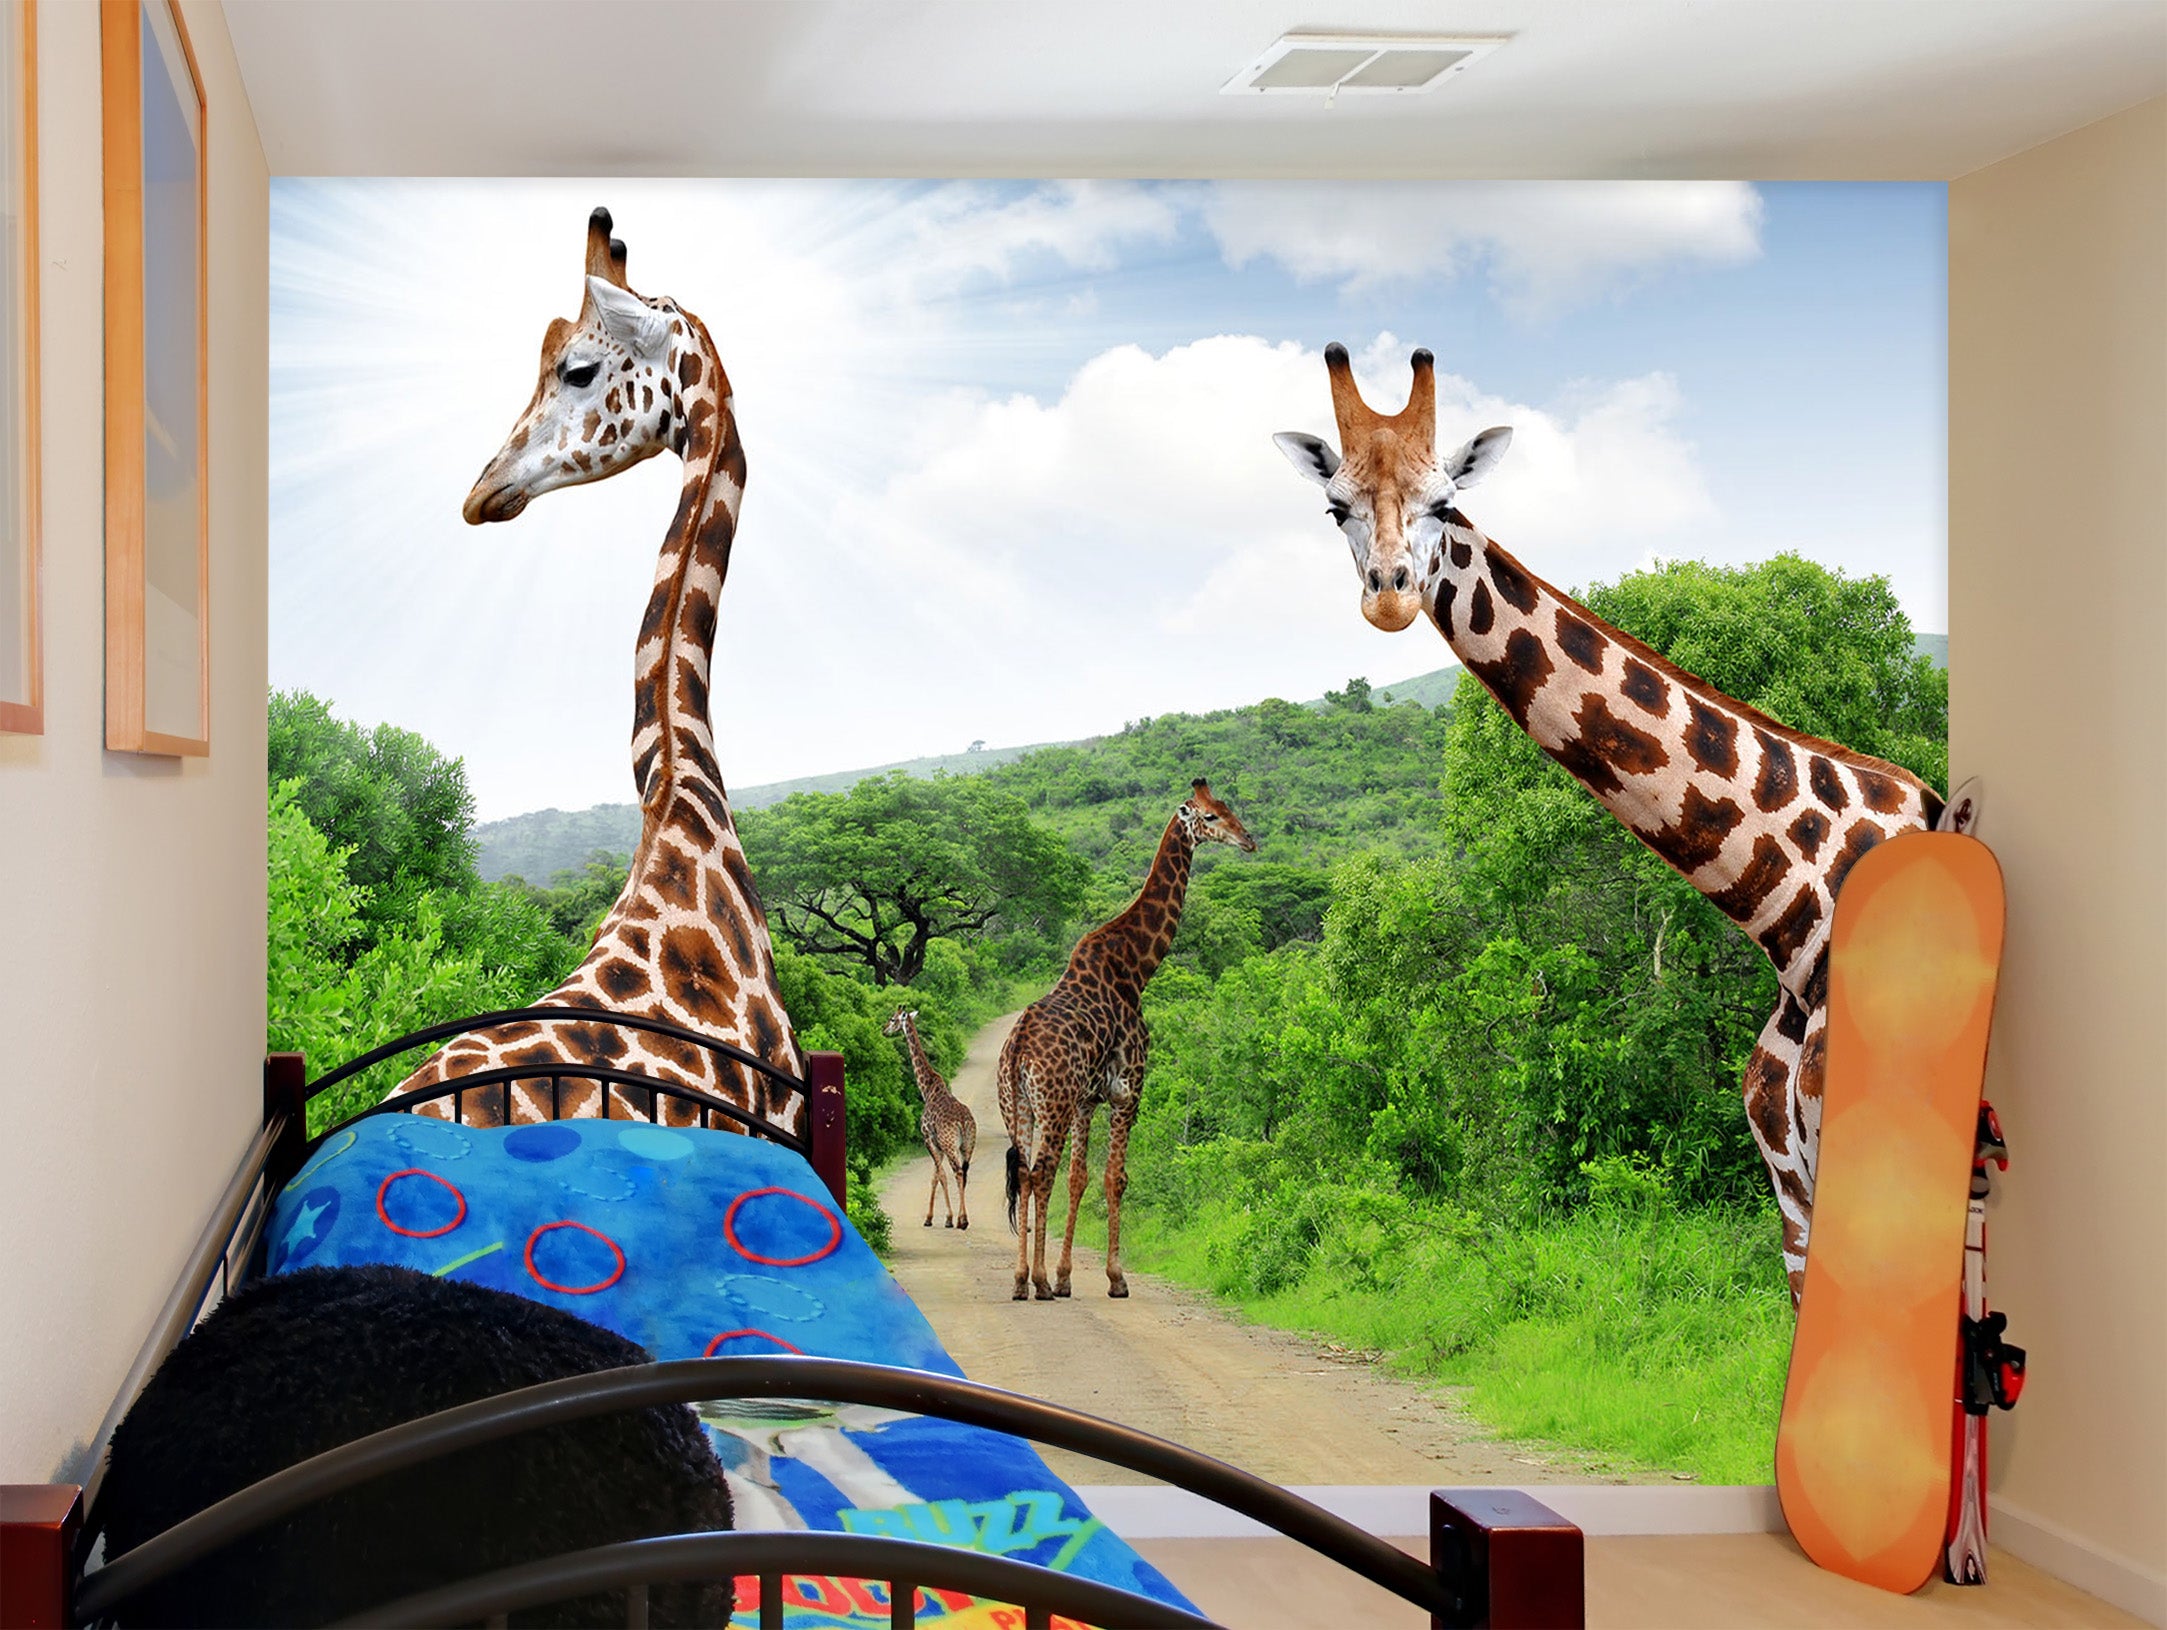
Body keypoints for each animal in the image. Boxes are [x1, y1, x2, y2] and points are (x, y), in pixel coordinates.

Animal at [883, 1008, 978, 1230]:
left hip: (951, 1144)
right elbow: (935, 1176)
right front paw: (930, 1217)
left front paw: (947, 1218)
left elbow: (940, 1175)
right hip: (967, 1145)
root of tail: (963, 1122)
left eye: (892, 1019)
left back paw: (961, 1221)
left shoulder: (929, 1139)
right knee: (965, 1173)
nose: (883, 1030)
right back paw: (964, 1218)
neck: (927, 1089)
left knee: (957, 1172)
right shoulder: (939, 1145)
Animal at [1000, 781, 1257, 1301]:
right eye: (1211, 816)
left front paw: (1066, 1276)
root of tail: (1016, 1047)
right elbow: (1114, 1178)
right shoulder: (1127, 1091)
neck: (1136, 968)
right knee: (1039, 1173)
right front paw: (1114, 1278)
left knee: (1025, 1173)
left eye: (1227, 807)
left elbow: (1079, 1178)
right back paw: (1035, 1281)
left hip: (1019, 1107)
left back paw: (1022, 1280)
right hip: (1052, 1105)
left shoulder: (1087, 1100)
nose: (1249, 841)